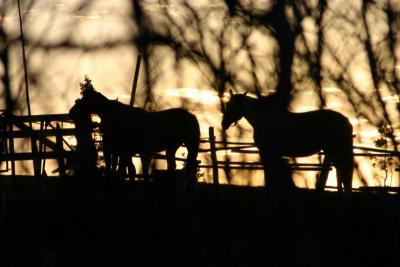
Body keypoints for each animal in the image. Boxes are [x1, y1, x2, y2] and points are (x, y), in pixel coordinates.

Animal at [222, 91, 354, 194]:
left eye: (233, 105)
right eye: (227, 104)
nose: (224, 123)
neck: (266, 119)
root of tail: (346, 120)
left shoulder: (267, 152)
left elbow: (269, 172)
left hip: (336, 150)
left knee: (343, 171)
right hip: (332, 151)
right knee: (341, 171)